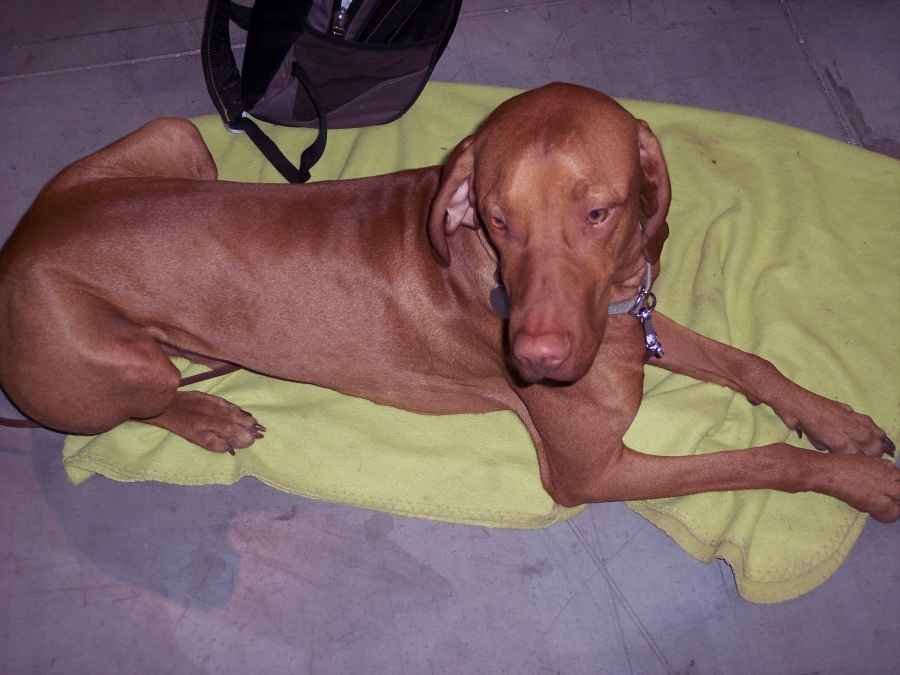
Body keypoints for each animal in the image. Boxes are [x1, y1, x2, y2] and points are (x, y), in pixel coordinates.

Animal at [0, 83, 897, 521]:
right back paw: (208, 415)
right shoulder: (591, 470)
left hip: (177, 139)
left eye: (599, 212)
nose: (536, 361)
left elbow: (751, 360)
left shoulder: (629, 318)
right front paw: (860, 482)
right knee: (148, 398)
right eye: (499, 217)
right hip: (107, 355)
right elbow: (758, 460)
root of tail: (22, 240)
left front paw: (839, 423)